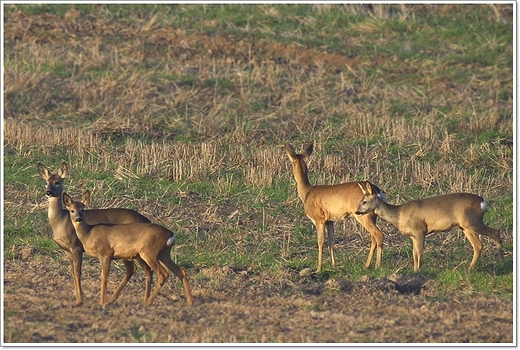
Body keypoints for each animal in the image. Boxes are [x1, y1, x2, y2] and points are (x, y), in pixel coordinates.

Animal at [36, 163, 150, 304]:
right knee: (131, 268)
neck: (61, 221)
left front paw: (80, 300)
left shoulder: (76, 246)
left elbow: (78, 272)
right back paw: (112, 299)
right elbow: (72, 272)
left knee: (142, 268)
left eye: (57, 182)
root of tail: (144, 219)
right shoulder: (67, 250)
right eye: (46, 182)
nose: (48, 192)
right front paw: (77, 298)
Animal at [64, 190, 194, 308]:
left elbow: (104, 277)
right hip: (164, 254)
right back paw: (189, 303)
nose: (78, 219)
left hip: (149, 252)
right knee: (181, 271)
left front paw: (102, 303)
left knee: (163, 274)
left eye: (83, 209)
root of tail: (171, 235)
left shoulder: (106, 253)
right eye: (72, 210)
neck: (89, 234)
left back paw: (148, 302)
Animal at [284, 142, 386, 270]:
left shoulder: (319, 219)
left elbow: (321, 241)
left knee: (379, 235)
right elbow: (331, 240)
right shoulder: (330, 220)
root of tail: (377, 191)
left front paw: (319, 268)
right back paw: (367, 265)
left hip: (364, 215)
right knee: (373, 237)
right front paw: (334, 265)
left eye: (291, 163)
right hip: (372, 216)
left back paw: (377, 266)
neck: (307, 193)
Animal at [356, 180, 506, 270]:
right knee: (478, 245)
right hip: (466, 227)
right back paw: (470, 268)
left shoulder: (420, 230)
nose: (357, 211)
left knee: (494, 233)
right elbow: (414, 254)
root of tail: (483, 202)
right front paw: (414, 270)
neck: (399, 215)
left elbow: (419, 252)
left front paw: (418, 270)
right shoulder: (413, 235)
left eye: (364, 201)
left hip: (473, 222)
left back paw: (500, 263)